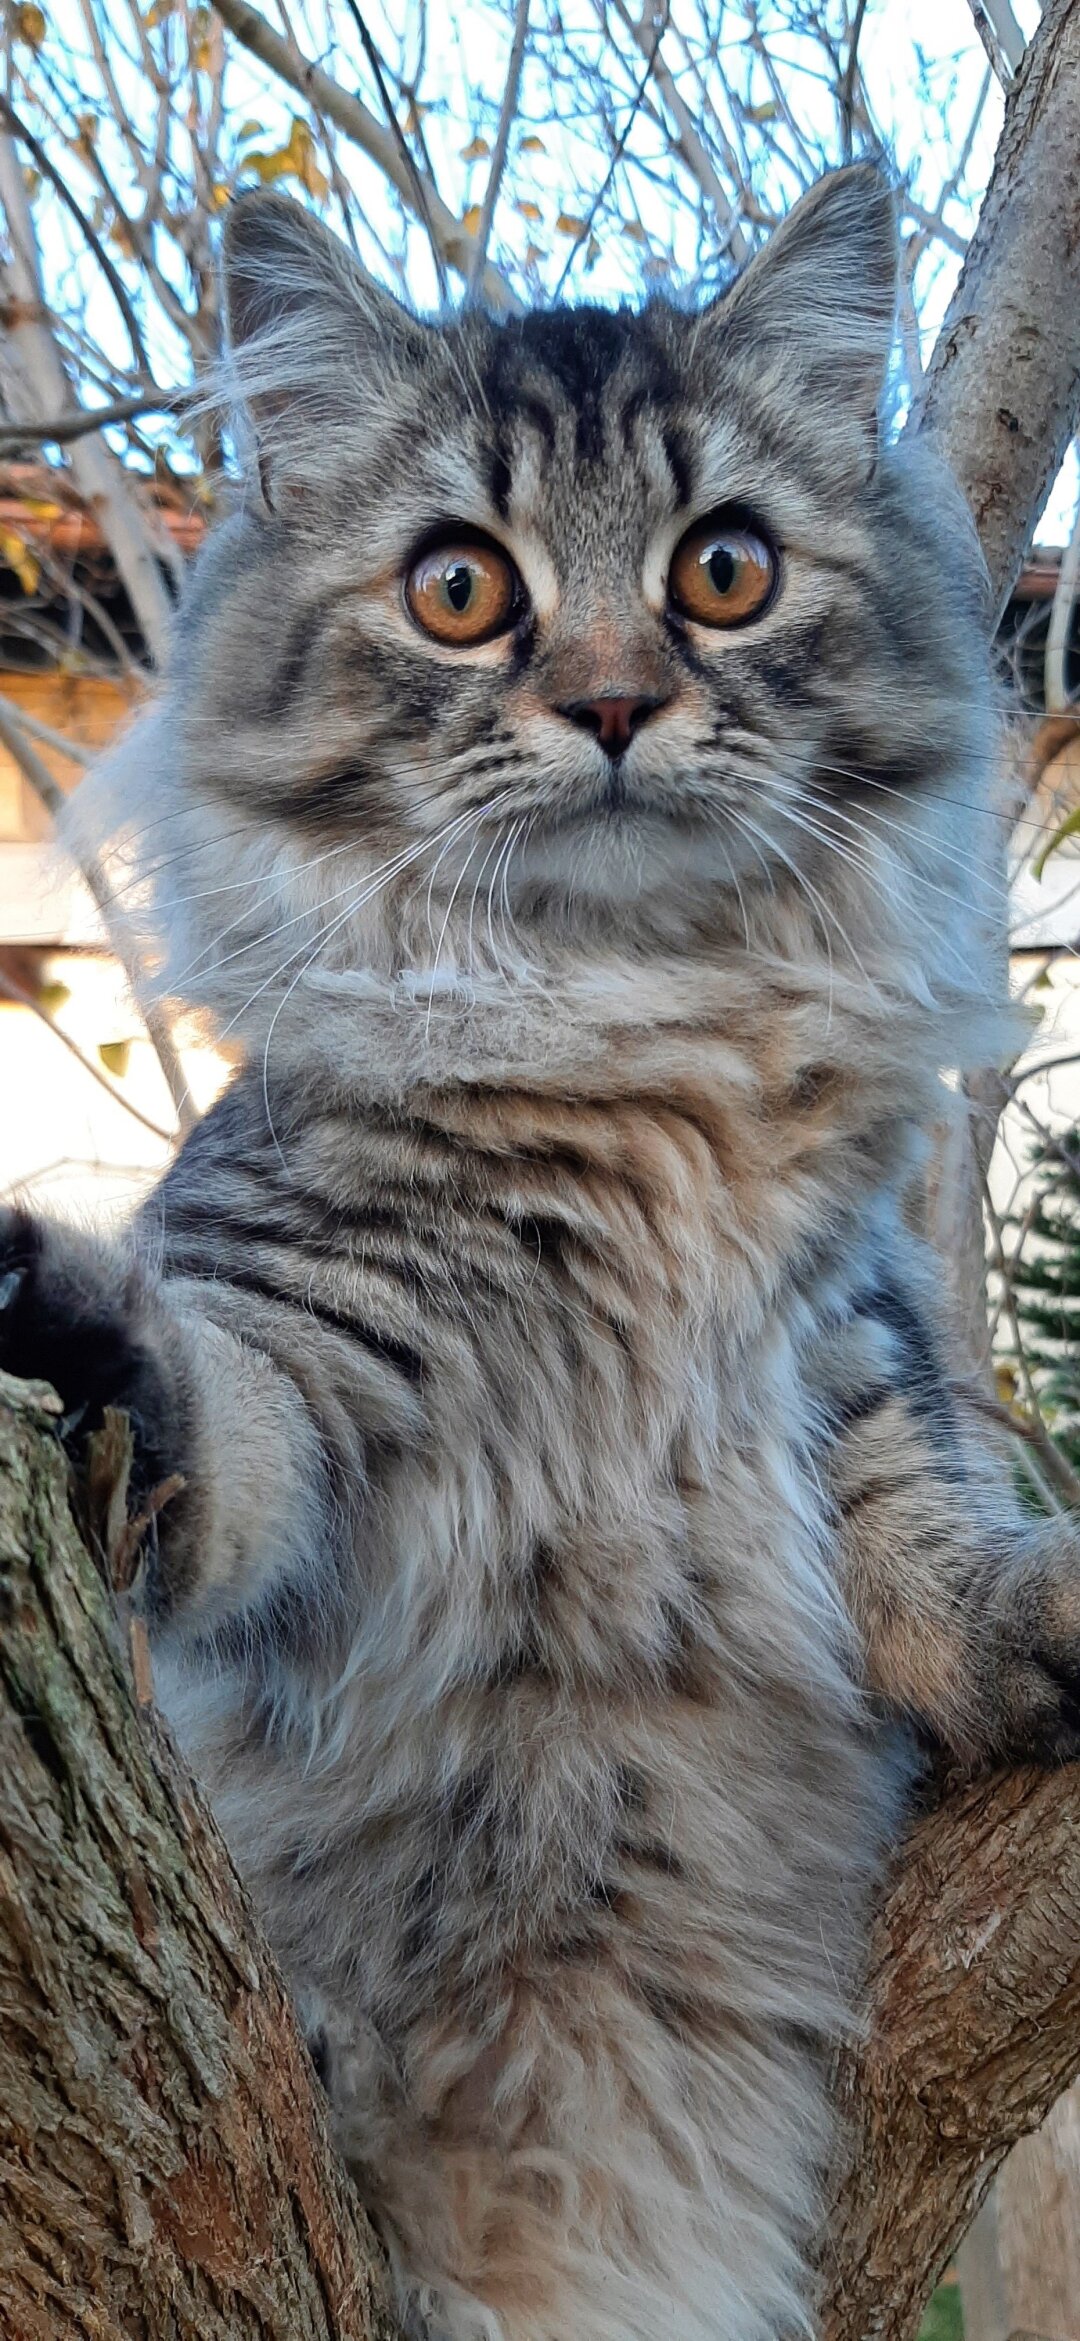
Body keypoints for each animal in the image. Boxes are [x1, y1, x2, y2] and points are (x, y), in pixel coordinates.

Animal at [2, 165, 1077, 2341]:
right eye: (461, 590)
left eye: (724, 572)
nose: (610, 706)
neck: (634, 1055)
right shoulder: (312, 1358)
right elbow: (208, 1410)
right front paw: (77, 1329)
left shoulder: (850, 1352)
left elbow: (932, 1549)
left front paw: (1033, 1612)